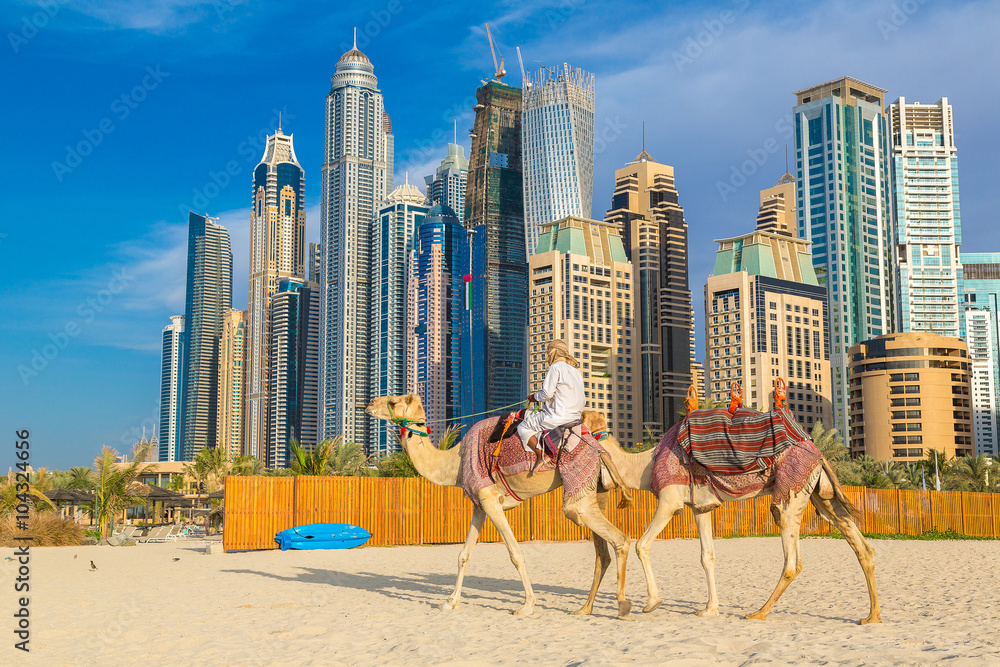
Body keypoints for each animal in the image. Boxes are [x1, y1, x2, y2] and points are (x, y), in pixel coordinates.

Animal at [366, 393, 633, 618]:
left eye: (393, 401)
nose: (369, 404)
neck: (454, 463)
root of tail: (599, 448)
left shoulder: (490, 498)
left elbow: (516, 554)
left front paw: (527, 606)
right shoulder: (479, 504)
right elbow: (464, 555)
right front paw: (450, 602)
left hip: (578, 492)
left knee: (618, 537)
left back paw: (624, 605)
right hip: (596, 491)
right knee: (603, 551)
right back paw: (586, 608)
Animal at [577, 409, 881, 625]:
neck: (645, 464)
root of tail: (817, 452)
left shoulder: (670, 500)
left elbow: (642, 544)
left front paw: (651, 603)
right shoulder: (700, 507)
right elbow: (707, 557)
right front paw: (709, 609)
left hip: (790, 492)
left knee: (792, 560)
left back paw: (758, 613)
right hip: (821, 494)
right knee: (861, 546)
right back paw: (871, 616)